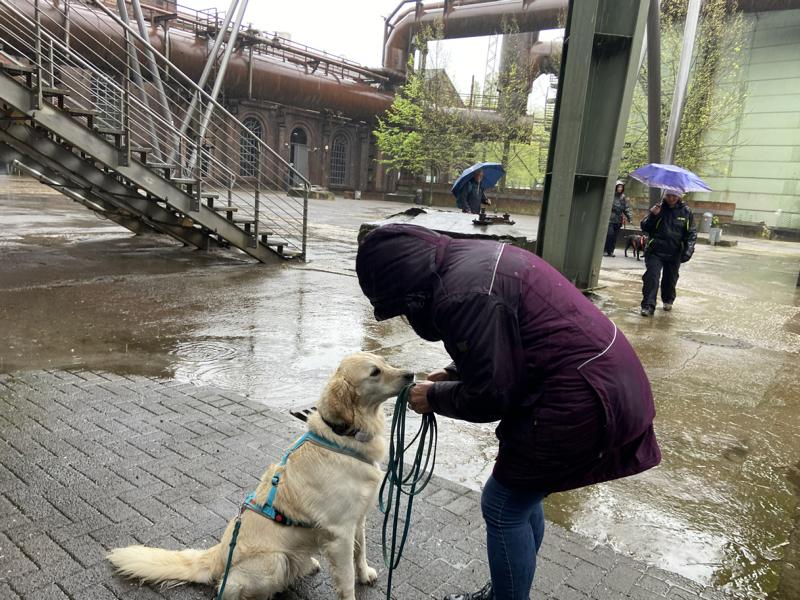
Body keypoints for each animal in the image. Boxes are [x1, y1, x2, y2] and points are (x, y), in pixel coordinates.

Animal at [107, 352, 414, 600]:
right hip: (273, 561)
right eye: (374, 372)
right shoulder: (340, 532)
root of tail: (218, 555)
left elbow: (360, 552)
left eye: (385, 361)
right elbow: (347, 577)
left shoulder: (357, 519)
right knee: (228, 587)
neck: (342, 438)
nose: (412, 374)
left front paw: (365, 573)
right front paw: (354, 582)